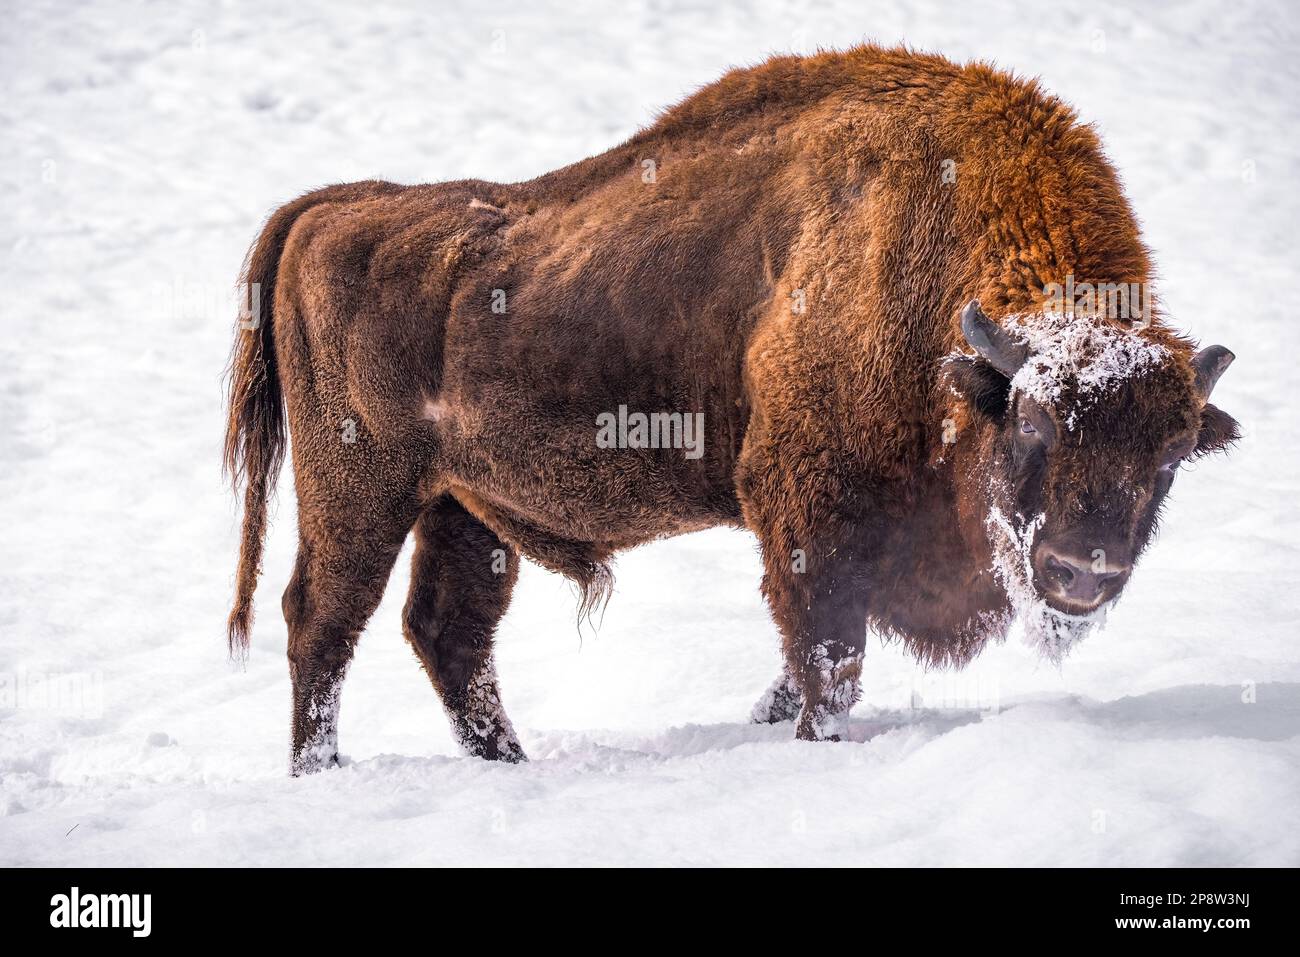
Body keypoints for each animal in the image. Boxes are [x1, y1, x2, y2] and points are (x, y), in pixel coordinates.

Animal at [223, 46, 1237, 780]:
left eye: (1174, 452)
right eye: (1032, 421)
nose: (1081, 570)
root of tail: (335, 209)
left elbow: (806, 662)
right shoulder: (808, 518)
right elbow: (828, 661)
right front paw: (812, 743)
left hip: (465, 508)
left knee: (448, 631)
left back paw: (508, 764)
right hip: (361, 491)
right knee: (322, 621)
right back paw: (322, 773)